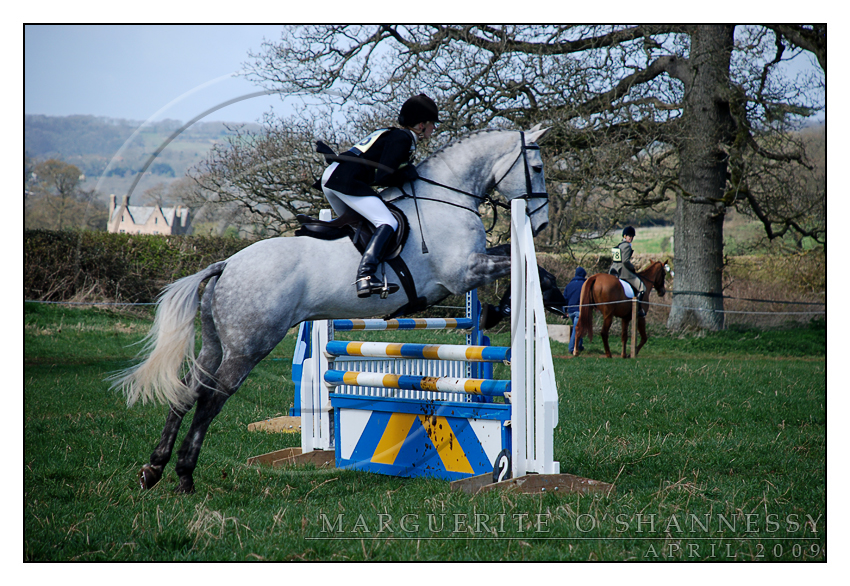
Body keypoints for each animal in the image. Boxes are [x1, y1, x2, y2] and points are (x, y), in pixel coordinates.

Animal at [112, 125, 548, 490]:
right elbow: (530, 268)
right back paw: (185, 476)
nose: (540, 224)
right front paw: (501, 310)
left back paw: (154, 469)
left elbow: (520, 262)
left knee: (188, 391)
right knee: (210, 398)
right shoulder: (463, 273)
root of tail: (227, 265)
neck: (447, 198)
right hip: (248, 346)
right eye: (538, 167)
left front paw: (500, 309)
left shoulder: (470, 269)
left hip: (216, 343)